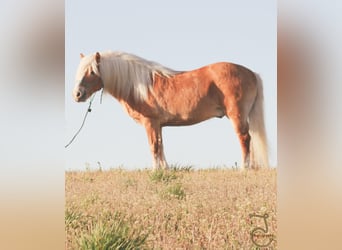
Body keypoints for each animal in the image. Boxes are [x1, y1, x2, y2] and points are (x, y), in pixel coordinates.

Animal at [73, 51, 268, 171]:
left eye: (92, 71)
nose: (77, 94)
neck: (139, 86)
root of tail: (251, 73)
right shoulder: (159, 125)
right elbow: (161, 146)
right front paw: (165, 170)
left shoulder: (150, 122)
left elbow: (153, 146)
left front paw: (154, 171)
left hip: (237, 115)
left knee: (245, 139)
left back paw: (244, 168)